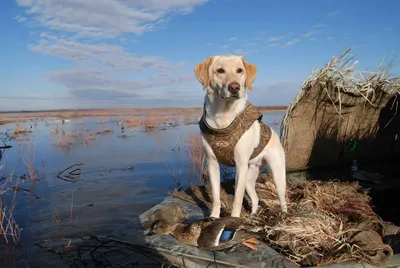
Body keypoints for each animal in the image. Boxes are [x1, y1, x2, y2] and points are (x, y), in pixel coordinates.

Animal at [194, 55, 288, 219]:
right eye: (220, 70)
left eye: (240, 70)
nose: (234, 87)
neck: (224, 116)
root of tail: (274, 134)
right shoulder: (212, 164)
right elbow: (216, 196)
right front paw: (214, 216)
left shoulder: (240, 164)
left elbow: (237, 198)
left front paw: (234, 218)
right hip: (249, 178)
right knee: (255, 198)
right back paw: (253, 215)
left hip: (276, 174)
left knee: (282, 198)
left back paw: (284, 215)